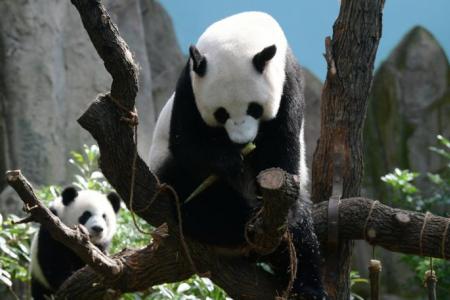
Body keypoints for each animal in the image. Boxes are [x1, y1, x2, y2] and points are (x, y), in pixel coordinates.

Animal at [149, 11, 326, 298]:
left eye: (254, 108)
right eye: (221, 114)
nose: (242, 140)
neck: (241, 27)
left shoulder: (288, 80)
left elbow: (282, 144)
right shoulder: (189, 86)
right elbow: (186, 141)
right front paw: (231, 162)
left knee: (300, 234)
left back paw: (306, 285)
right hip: (171, 172)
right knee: (196, 197)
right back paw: (237, 222)